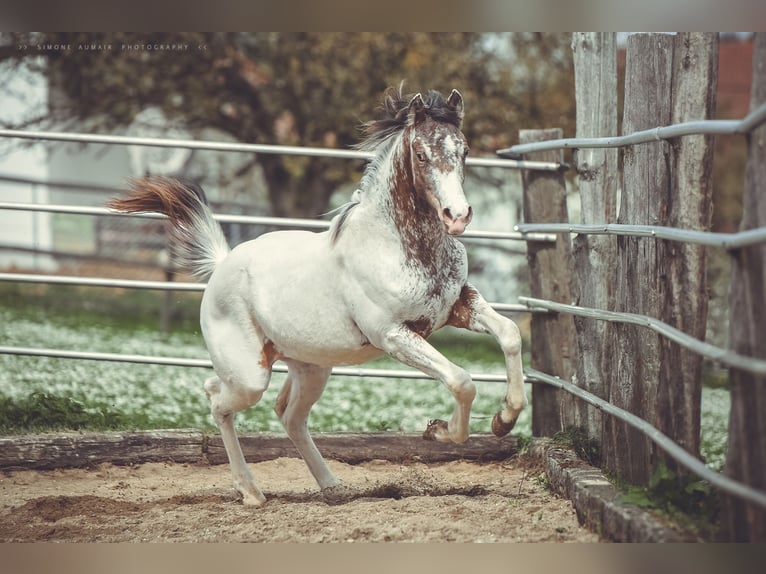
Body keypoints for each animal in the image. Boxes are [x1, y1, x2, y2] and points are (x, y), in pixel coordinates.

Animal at [108, 87, 526, 506]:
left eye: (464, 149)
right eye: (421, 154)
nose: (458, 215)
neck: (397, 245)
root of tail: (222, 262)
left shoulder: (456, 307)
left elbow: (509, 334)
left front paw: (504, 420)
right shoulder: (392, 335)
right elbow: (461, 380)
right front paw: (438, 430)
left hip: (311, 367)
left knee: (288, 415)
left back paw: (333, 486)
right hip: (249, 376)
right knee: (217, 398)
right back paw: (251, 492)